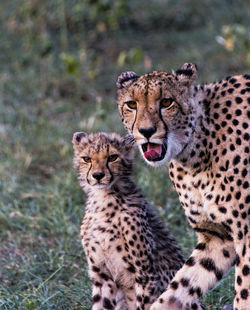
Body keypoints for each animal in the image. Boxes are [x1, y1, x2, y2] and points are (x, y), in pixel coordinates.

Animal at [72, 133, 184, 310]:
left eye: (113, 157)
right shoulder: (101, 275)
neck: (103, 198)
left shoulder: (145, 274)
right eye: (87, 159)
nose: (98, 175)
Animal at [116, 63, 249, 310]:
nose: (146, 131)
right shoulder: (217, 237)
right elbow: (180, 288)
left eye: (166, 102)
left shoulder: (247, 234)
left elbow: (244, 293)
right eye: (132, 104)